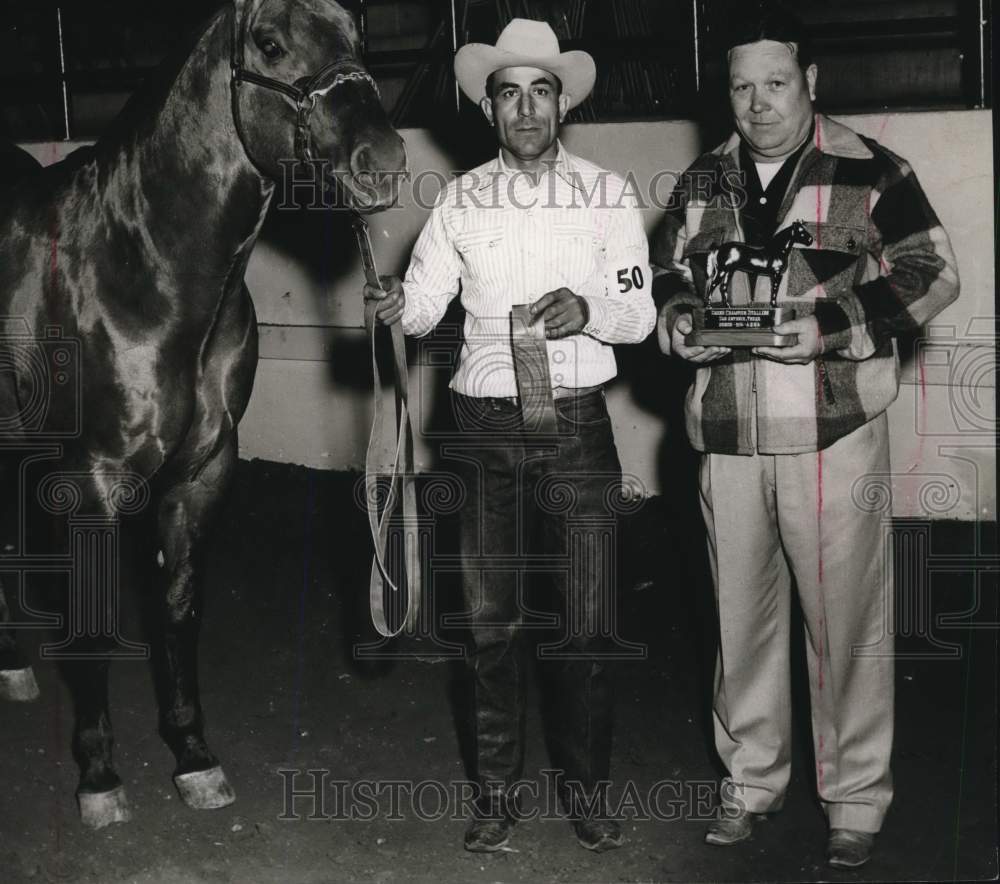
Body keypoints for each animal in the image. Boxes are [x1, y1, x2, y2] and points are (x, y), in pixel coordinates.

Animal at [0, 0, 406, 828]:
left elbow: (179, 611)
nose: (382, 160)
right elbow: (94, 623)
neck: (143, 267)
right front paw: (99, 777)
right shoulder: (91, 483)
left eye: (359, 31)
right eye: (271, 43)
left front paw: (193, 759)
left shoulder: (203, 472)